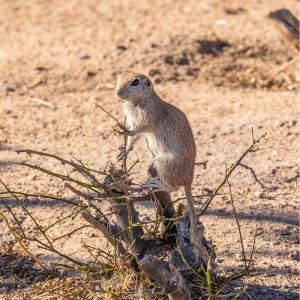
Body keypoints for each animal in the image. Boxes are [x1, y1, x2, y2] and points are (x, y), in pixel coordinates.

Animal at [115, 72, 204, 251]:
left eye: (135, 82)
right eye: (119, 76)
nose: (118, 93)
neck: (135, 103)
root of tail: (189, 180)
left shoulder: (150, 115)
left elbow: (139, 129)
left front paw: (124, 129)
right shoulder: (132, 117)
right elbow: (134, 137)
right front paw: (125, 150)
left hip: (165, 163)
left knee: (174, 187)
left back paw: (158, 184)